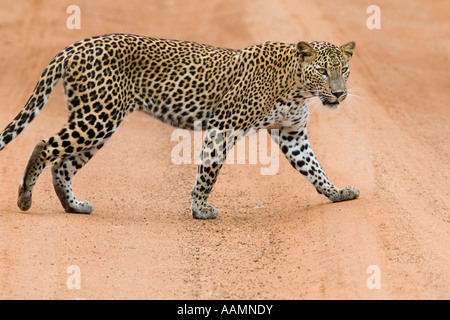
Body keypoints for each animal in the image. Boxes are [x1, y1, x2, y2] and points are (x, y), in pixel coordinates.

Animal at [0, 33, 358, 220]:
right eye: (323, 71)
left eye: (344, 70)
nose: (339, 93)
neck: (297, 87)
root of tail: (75, 46)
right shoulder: (224, 127)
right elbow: (209, 171)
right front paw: (200, 209)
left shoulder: (292, 134)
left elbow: (314, 169)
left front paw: (337, 192)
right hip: (98, 116)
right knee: (45, 146)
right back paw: (25, 197)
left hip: (99, 121)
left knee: (63, 164)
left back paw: (73, 206)